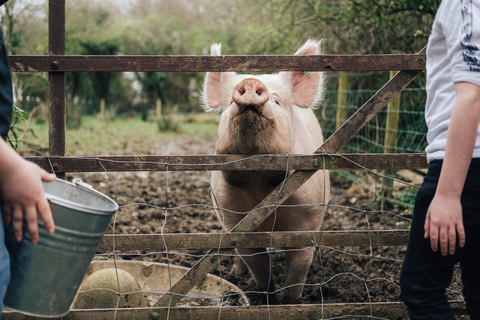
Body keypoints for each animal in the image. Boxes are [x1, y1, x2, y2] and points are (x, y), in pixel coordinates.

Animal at [202, 38, 330, 304]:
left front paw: (290, 303)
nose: (250, 82)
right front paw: (266, 299)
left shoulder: (306, 221)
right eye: (229, 103)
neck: (259, 183)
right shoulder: (234, 220)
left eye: (278, 101)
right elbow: (259, 267)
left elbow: (296, 276)